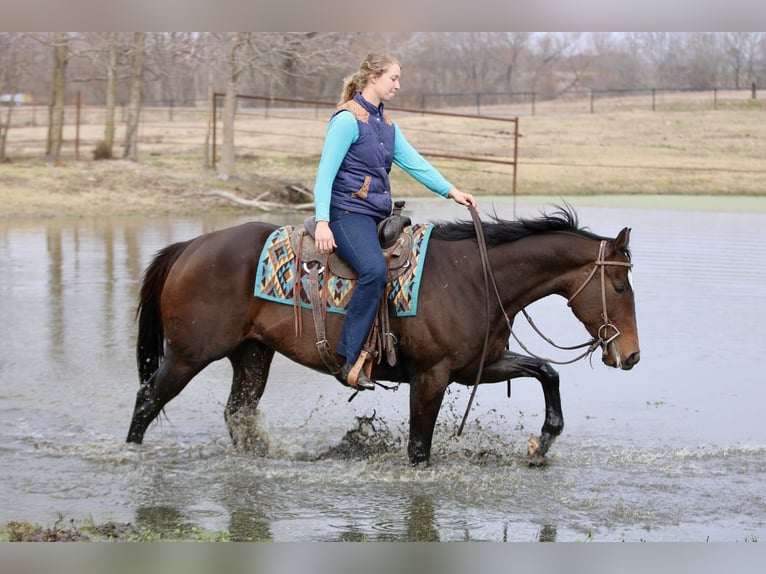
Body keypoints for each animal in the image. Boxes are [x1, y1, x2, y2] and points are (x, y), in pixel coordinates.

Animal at [126, 206, 639, 465]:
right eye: (618, 285)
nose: (632, 355)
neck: (473, 277)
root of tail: (189, 247)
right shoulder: (431, 377)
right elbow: (419, 449)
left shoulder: (480, 365)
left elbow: (546, 371)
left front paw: (542, 442)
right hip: (190, 355)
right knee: (148, 399)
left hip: (251, 355)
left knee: (238, 414)